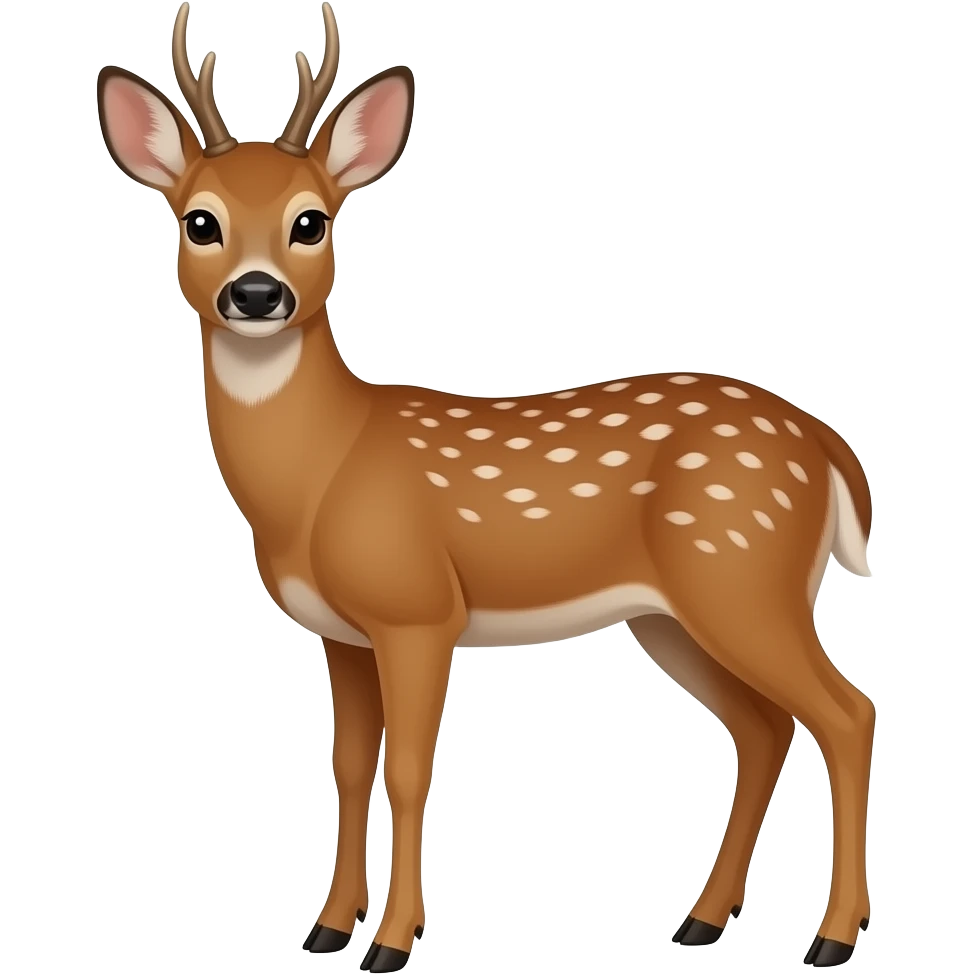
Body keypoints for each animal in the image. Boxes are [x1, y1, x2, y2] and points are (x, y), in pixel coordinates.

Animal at [95, 3, 877, 970]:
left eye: (311, 222)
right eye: (199, 222)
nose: (256, 293)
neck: (320, 476)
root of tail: (831, 448)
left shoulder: (419, 609)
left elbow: (407, 771)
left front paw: (392, 941)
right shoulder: (342, 632)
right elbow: (348, 767)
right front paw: (326, 929)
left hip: (743, 576)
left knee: (847, 713)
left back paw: (831, 938)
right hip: (674, 614)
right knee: (765, 728)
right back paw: (701, 921)